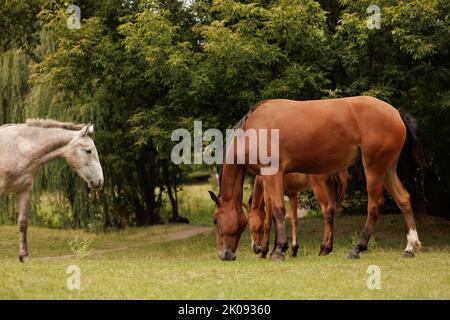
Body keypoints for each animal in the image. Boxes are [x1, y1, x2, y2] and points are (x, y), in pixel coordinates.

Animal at [0, 119, 103, 262]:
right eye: (88, 151)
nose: (100, 181)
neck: (18, 149)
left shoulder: (24, 191)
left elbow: (22, 223)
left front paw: (24, 257)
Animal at [208, 95, 426, 260]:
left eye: (215, 220)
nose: (224, 254)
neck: (254, 129)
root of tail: (395, 112)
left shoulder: (272, 175)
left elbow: (278, 212)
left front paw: (278, 250)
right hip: (387, 169)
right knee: (403, 199)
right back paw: (409, 247)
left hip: (374, 168)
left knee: (375, 206)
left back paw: (357, 248)